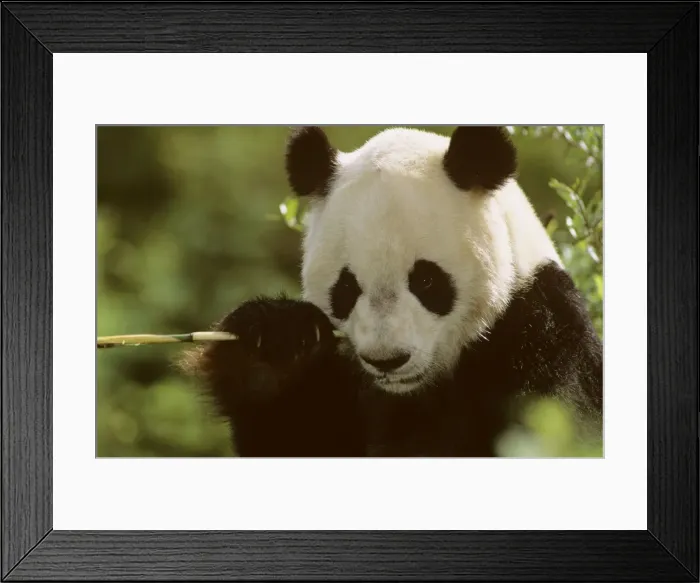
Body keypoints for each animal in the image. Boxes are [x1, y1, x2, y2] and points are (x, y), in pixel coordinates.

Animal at [183, 125, 603, 457]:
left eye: (427, 281)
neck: (415, 391)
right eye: (346, 287)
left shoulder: (542, 335)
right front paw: (275, 343)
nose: (387, 360)